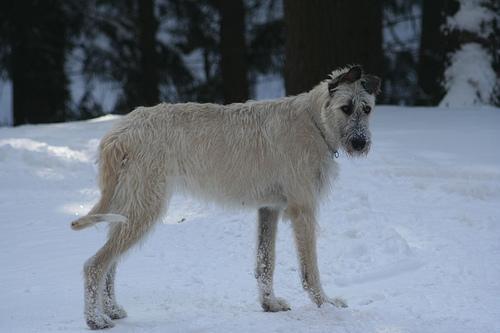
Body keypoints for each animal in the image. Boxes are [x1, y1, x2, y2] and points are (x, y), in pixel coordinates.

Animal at [70, 64, 380, 326]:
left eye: (366, 109)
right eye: (345, 108)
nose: (360, 143)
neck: (315, 121)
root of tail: (117, 134)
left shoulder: (269, 208)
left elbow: (265, 261)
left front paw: (269, 304)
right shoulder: (303, 209)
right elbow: (309, 269)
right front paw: (325, 305)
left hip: (125, 208)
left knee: (109, 263)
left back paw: (111, 309)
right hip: (144, 208)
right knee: (94, 264)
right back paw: (95, 320)